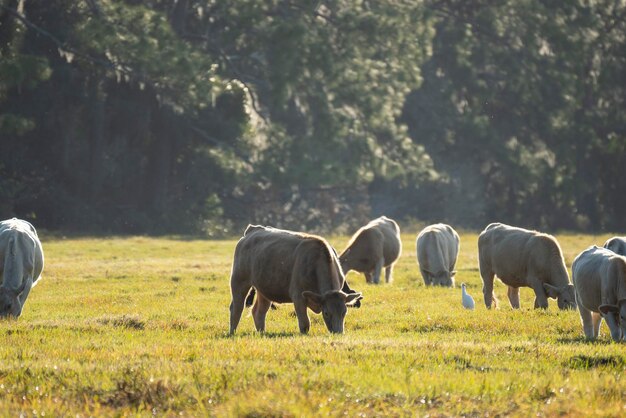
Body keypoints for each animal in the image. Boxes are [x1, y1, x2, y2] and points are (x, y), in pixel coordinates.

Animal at [228, 224, 360, 334]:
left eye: (344, 312)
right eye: (327, 313)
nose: (338, 332)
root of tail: (253, 230)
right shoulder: (298, 297)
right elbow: (305, 323)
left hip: (264, 289)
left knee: (259, 312)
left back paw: (262, 333)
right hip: (239, 281)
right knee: (236, 308)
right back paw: (232, 332)